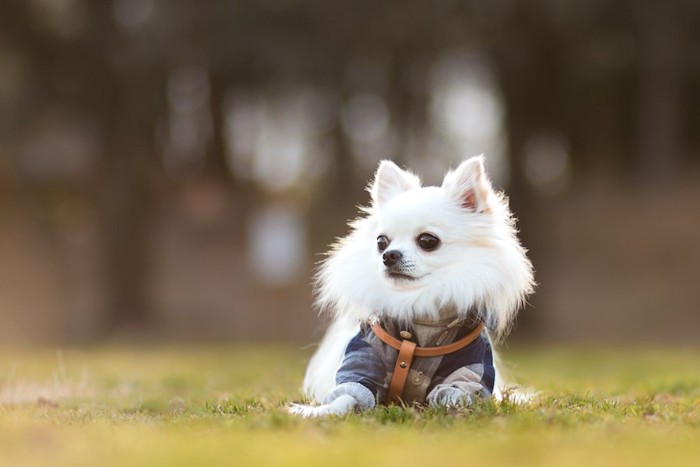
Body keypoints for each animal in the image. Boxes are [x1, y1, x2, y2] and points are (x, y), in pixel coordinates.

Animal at [290, 156, 536, 416]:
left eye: (428, 241)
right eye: (381, 242)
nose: (388, 255)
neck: (419, 304)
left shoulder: (468, 368)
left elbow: (456, 395)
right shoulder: (364, 356)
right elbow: (348, 393)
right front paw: (318, 411)